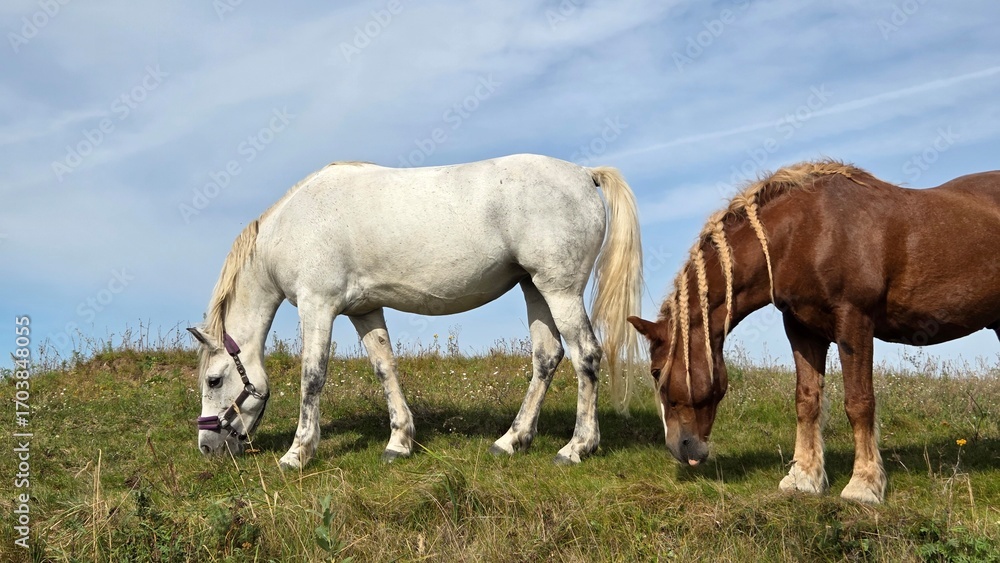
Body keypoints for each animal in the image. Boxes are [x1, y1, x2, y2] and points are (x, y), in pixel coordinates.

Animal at [188, 154, 643, 469]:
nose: (207, 447)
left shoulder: (318, 306)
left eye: (214, 380)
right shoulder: (365, 309)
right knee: (548, 357)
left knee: (586, 356)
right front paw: (399, 442)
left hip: (560, 290)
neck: (294, 224)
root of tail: (584, 173)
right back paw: (511, 441)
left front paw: (297, 453)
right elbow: (384, 368)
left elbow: (312, 378)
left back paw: (576, 447)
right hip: (535, 289)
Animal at [628, 160, 1000, 504]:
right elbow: (806, 400)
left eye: (656, 371)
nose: (681, 448)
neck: (806, 233)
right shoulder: (802, 328)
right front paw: (804, 478)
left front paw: (864, 484)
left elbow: (859, 401)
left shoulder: (854, 319)